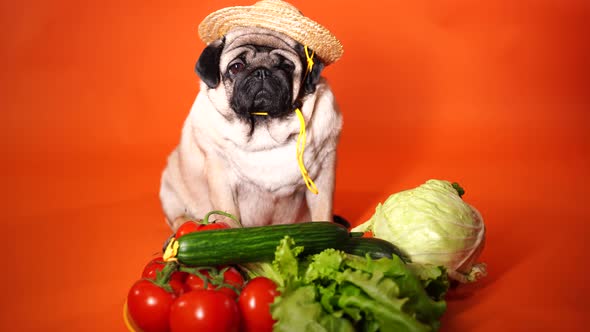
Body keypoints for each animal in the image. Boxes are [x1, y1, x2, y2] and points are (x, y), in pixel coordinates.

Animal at [160, 26, 344, 230]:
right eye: (236, 67)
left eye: (286, 66)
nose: (262, 72)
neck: (264, 130)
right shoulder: (221, 177)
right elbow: (228, 215)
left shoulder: (323, 173)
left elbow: (322, 212)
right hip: (169, 189)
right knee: (176, 217)